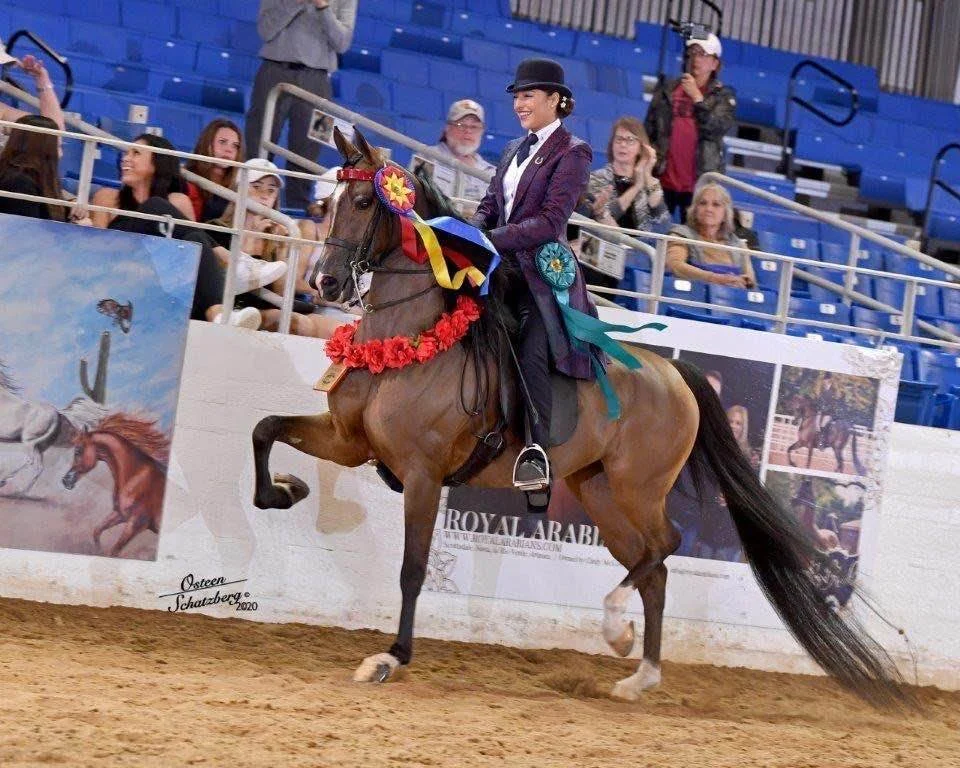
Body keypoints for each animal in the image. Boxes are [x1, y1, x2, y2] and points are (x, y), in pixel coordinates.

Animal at [0, 360, 106, 494]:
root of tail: (58, 414)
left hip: (29, 441)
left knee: (30, 461)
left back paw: (8, 484)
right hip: (40, 447)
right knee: (39, 468)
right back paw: (23, 491)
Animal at [61, 413, 169, 557]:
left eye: (78, 450)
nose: (65, 481)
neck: (136, 477)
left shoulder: (136, 524)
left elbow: (114, 551)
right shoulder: (120, 515)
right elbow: (97, 531)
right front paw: (98, 551)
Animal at [250, 127, 907, 708]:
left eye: (364, 202)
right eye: (326, 201)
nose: (325, 281)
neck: (408, 337)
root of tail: (676, 374)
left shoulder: (422, 473)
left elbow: (413, 568)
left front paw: (391, 658)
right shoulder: (349, 441)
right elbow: (265, 428)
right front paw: (283, 491)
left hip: (638, 487)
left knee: (663, 547)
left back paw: (617, 630)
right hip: (598, 492)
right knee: (652, 568)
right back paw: (639, 676)